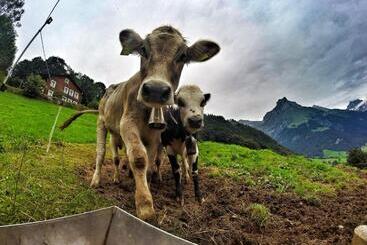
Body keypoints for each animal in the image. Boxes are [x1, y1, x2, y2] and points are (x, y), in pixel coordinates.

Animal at [61, 26, 220, 220]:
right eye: (143, 49)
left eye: (182, 55)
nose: (156, 90)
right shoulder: (127, 124)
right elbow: (138, 159)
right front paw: (145, 206)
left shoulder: (155, 137)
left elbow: (150, 166)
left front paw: (146, 188)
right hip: (101, 122)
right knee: (101, 153)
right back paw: (97, 180)